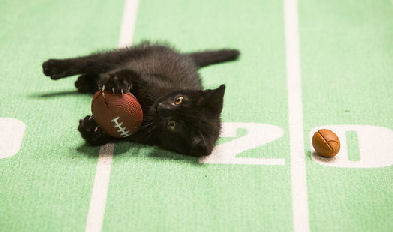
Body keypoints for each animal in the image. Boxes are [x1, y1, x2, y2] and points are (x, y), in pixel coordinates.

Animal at [42, 42, 239, 158]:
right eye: (178, 99)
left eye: (172, 124)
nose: (161, 107)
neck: (149, 110)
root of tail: (185, 56)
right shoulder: (150, 80)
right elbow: (133, 75)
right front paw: (118, 82)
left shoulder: (139, 134)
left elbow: (110, 134)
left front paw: (91, 129)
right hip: (123, 55)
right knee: (89, 61)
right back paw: (54, 67)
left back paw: (83, 82)